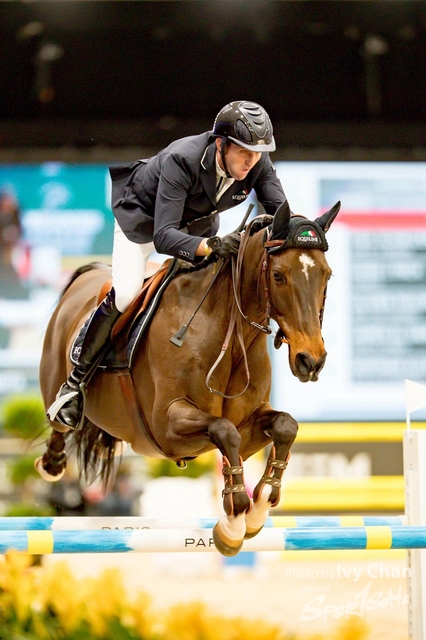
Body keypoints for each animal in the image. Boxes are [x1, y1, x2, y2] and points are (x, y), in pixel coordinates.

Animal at [36, 199, 340, 556]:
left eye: (327, 275)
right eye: (278, 276)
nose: (311, 360)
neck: (229, 333)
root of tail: (89, 274)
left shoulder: (249, 426)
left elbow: (284, 425)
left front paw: (259, 507)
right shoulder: (166, 427)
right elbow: (223, 431)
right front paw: (234, 523)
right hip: (57, 378)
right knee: (59, 420)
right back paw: (54, 454)